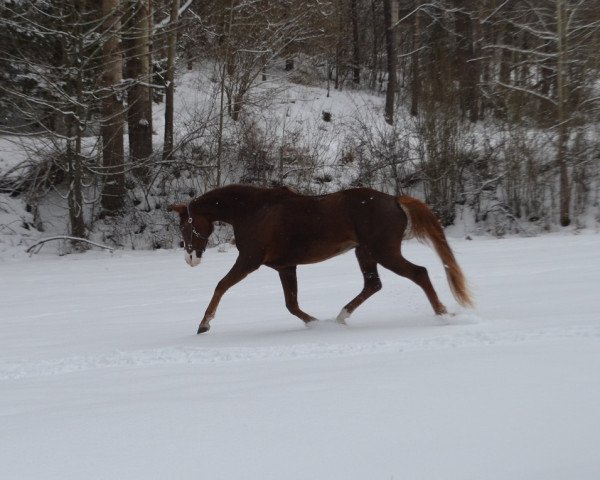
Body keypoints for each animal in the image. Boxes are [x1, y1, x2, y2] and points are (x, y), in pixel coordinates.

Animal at [170, 184, 474, 334]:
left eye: (185, 226)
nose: (190, 259)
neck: (254, 210)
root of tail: (394, 200)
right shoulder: (285, 267)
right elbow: (291, 304)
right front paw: (315, 323)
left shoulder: (249, 260)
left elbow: (221, 285)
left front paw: (204, 324)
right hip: (365, 253)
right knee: (373, 285)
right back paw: (340, 317)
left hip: (384, 252)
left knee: (419, 273)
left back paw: (443, 314)